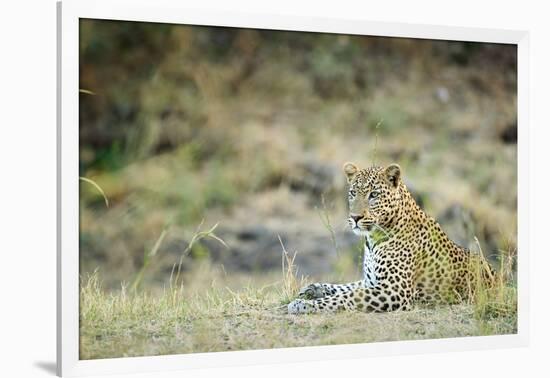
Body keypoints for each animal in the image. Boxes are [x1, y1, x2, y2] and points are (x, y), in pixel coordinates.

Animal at [288, 161, 496, 314]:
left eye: (373, 195)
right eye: (353, 193)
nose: (355, 217)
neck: (372, 240)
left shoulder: (394, 290)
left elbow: (345, 297)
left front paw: (302, 304)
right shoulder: (371, 282)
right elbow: (345, 288)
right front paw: (311, 289)